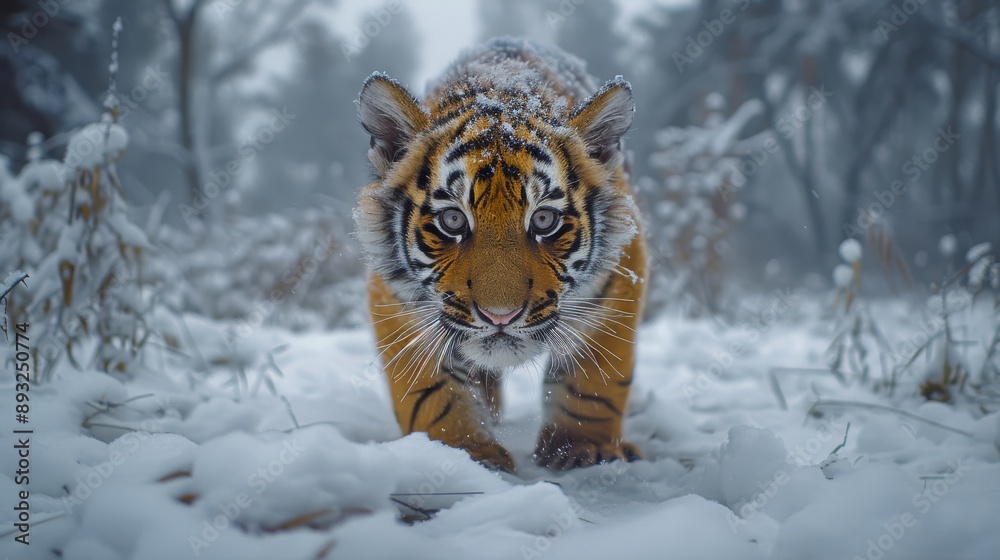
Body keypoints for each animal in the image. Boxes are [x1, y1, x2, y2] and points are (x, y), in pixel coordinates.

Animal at [354, 38, 646, 472]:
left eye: (543, 220)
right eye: (453, 221)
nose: (500, 317)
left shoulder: (620, 276)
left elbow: (595, 381)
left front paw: (583, 449)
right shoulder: (394, 298)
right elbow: (430, 393)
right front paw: (465, 453)